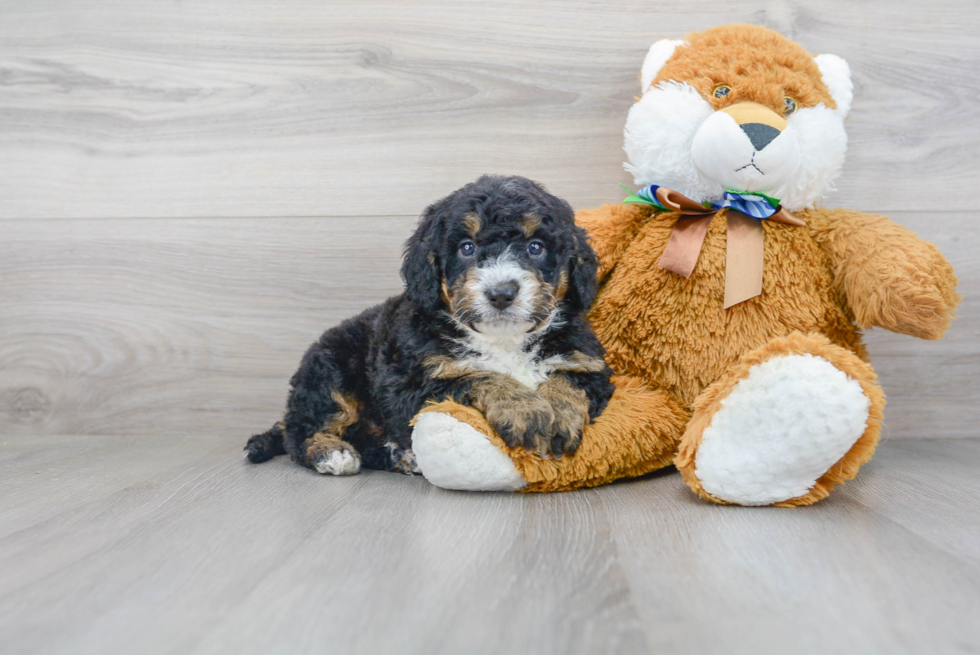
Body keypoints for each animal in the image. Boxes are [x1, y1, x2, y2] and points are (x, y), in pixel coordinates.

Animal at [245, 174, 612, 476]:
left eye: (536, 247)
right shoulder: (413, 383)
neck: (504, 340)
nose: (501, 292)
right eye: (467, 248)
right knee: (301, 432)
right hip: (329, 370)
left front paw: (559, 413)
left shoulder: (589, 363)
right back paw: (332, 453)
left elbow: (567, 380)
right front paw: (524, 409)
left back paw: (399, 455)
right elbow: (479, 376)